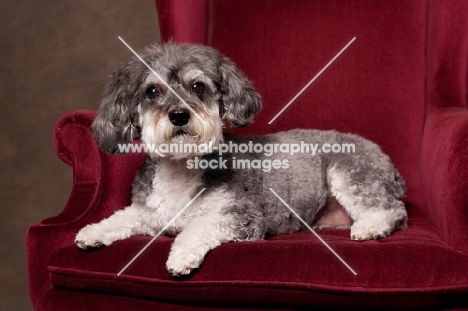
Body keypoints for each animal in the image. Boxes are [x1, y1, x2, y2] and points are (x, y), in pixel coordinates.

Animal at [75, 42, 408, 278]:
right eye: (152, 91)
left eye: (197, 86)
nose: (179, 114)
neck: (182, 166)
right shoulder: (150, 212)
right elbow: (122, 217)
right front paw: (92, 232)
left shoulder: (242, 217)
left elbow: (198, 226)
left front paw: (181, 255)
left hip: (350, 172)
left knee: (392, 210)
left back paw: (370, 227)